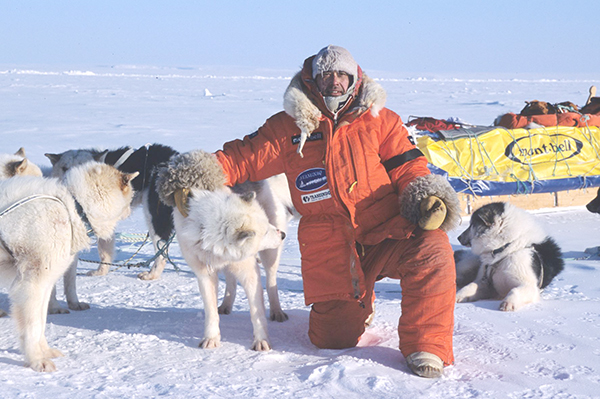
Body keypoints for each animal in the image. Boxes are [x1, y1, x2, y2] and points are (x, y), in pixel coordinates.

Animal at [0, 162, 137, 372]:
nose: (131, 210)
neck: (75, 205)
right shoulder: (31, 286)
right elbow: (32, 327)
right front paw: (36, 360)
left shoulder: (45, 285)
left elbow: (41, 321)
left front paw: (45, 351)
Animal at [155, 152, 286, 352]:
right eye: (263, 233)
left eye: (267, 227)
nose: (282, 235)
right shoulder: (205, 275)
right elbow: (210, 311)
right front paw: (211, 338)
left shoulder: (250, 274)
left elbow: (257, 312)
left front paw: (261, 340)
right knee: (230, 281)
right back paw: (225, 305)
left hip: (270, 255)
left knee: (271, 281)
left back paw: (277, 310)